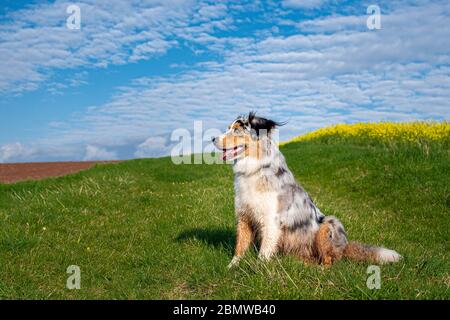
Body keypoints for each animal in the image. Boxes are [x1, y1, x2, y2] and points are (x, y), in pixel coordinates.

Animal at [213, 112, 402, 268]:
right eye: (228, 128)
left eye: (237, 130)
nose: (213, 138)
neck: (254, 170)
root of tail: (346, 246)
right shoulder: (244, 217)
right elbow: (239, 247)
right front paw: (231, 267)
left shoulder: (270, 221)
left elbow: (264, 252)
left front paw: (258, 270)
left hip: (329, 224)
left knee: (329, 261)